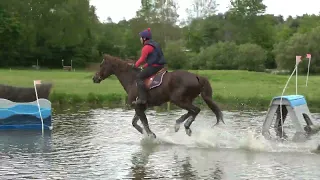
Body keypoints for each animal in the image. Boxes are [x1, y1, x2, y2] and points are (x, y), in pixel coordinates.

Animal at [91, 54, 224, 139]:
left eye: (101, 65)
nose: (94, 78)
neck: (132, 79)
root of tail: (196, 76)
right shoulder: (141, 107)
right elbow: (135, 123)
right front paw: (144, 133)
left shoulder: (138, 106)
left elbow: (144, 123)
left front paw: (150, 135)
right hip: (185, 100)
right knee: (192, 111)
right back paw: (179, 124)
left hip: (178, 100)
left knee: (195, 110)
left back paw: (185, 126)